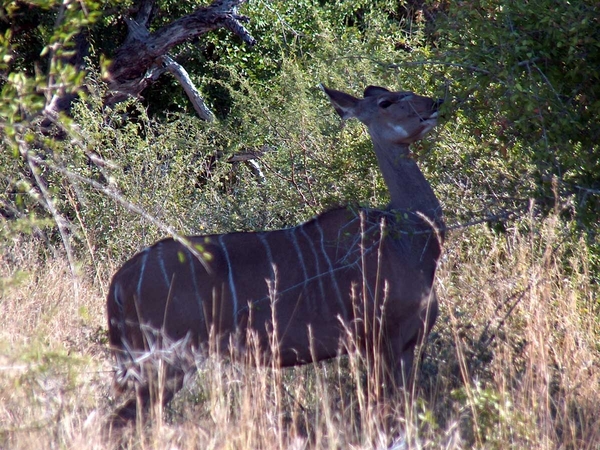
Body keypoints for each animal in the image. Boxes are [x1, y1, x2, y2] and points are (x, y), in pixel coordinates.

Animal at [108, 85, 446, 422]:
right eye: (386, 102)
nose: (434, 103)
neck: (408, 237)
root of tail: (120, 281)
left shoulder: (400, 347)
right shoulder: (386, 341)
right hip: (168, 362)